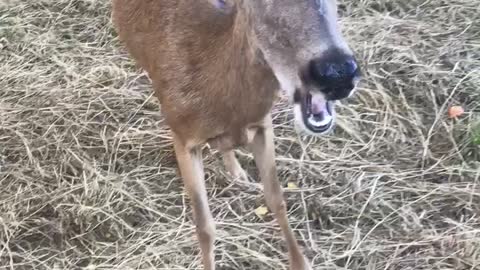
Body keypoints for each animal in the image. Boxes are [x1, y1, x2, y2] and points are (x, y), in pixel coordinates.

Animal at [111, 1, 360, 268]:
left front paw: (300, 262)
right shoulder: (182, 134)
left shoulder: (263, 123)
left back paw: (238, 172)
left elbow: (276, 198)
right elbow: (204, 227)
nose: (338, 72)